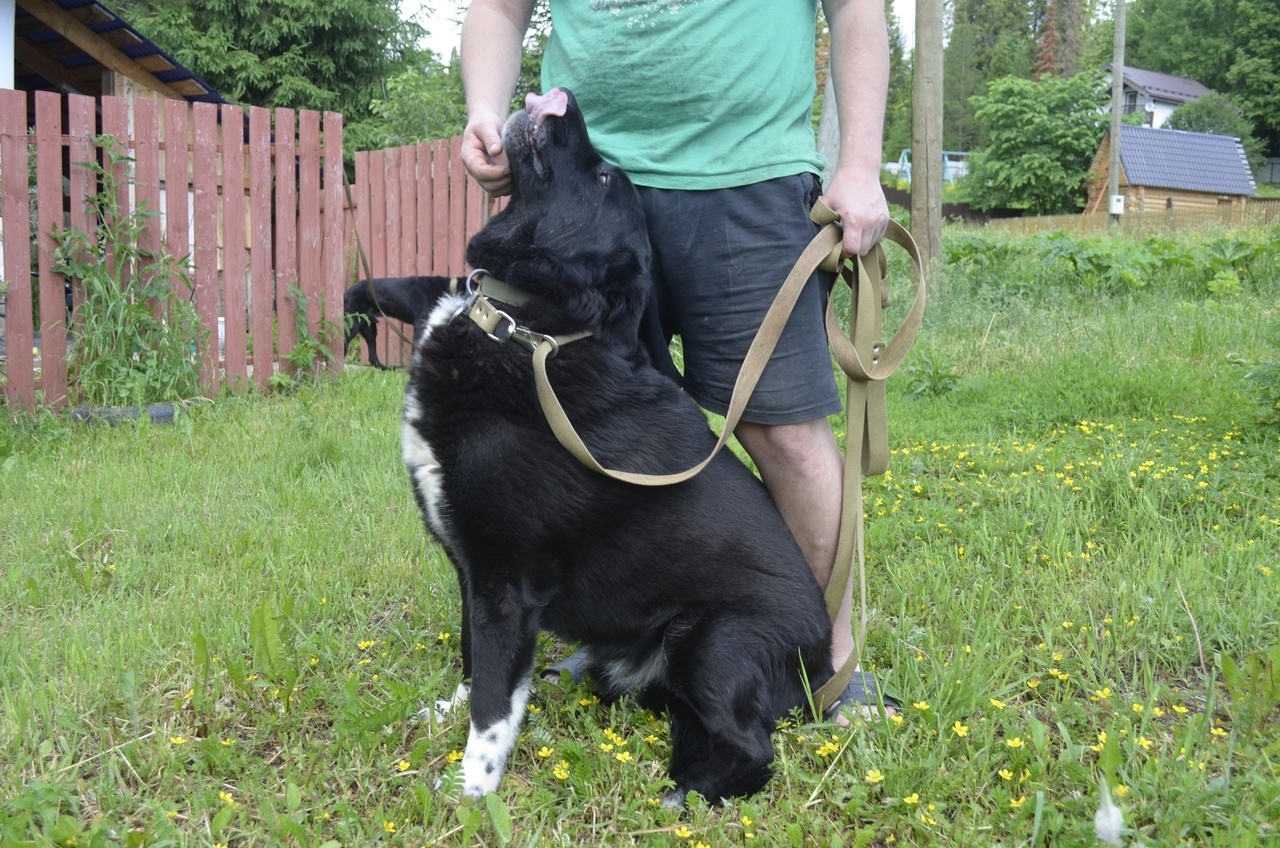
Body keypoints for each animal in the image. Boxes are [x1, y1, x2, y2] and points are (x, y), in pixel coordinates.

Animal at [404, 89, 834, 809]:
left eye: (605, 177)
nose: (565, 99)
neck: (527, 327)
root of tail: (826, 667)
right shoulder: (472, 570)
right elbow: (473, 662)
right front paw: (448, 713)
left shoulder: (507, 583)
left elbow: (494, 705)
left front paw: (473, 792)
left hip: (713, 639)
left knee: (751, 749)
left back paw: (680, 798)